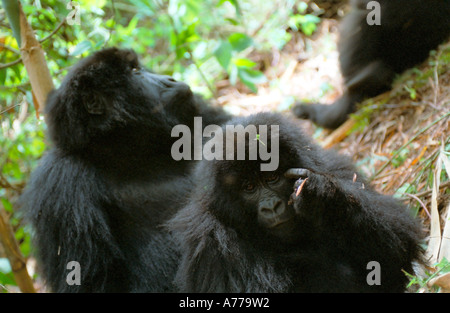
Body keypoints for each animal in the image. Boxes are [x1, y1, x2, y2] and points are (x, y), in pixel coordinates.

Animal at [170, 112, 426, 292]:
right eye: (249, 187)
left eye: (272, 178)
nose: (271, 207)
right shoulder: (208, 240)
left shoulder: (334, 167)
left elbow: (399, 244)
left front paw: (322, 198)